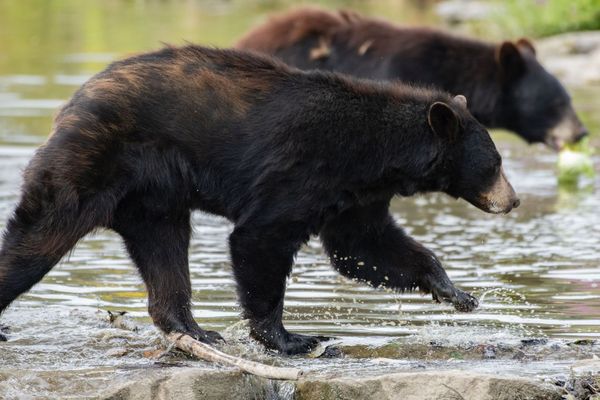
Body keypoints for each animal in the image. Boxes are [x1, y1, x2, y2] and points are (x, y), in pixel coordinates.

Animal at [0, 45, 520, 354]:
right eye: (495, 163)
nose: (512, 201)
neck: (376, 153)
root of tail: (76, 98)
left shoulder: (355, 194)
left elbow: (363, 247)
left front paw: (456, 293)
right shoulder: (305, 169)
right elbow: (261, 237)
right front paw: (292, 338)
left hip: (153, 198)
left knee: (164, 250)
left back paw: (193, 329)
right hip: (93, 160)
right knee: (39, 235)